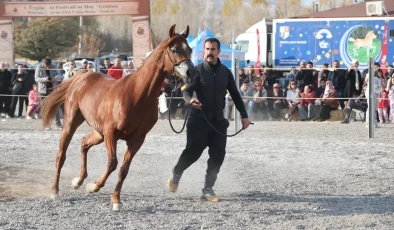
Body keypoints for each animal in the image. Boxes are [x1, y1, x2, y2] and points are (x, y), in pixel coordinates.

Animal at [40, 24, 194, 210]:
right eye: (174, 49)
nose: (191, 72)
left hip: (98, 132)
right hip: (72, 123)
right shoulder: (111, 133)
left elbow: (123, 169)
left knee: (84, 143)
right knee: (61, 155)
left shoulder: (137, 139)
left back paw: (78, 180)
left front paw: (115, 199)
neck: (138, 95)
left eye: (190, 49)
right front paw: (94, 186)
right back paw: (55, 191)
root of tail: (82, 76)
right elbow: (112, 163)